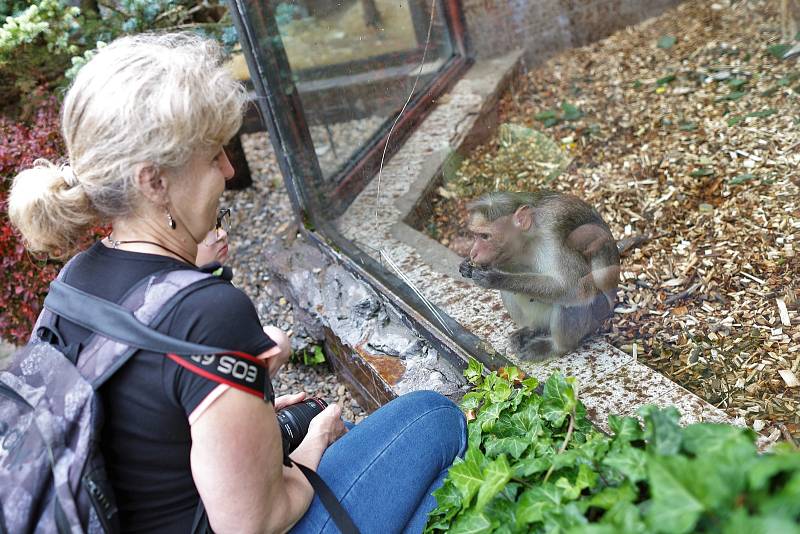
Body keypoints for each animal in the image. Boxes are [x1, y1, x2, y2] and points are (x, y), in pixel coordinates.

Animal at [460, 193, 620, 364]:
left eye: (485, 236)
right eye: (475, 235)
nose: (473, 253)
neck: (529, 240)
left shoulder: (557, 243)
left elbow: (576, 288)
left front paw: (496, 278)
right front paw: (467, 266)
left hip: (593, 319)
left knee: (572, 300)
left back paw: (556, 347)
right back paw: (532, 329)